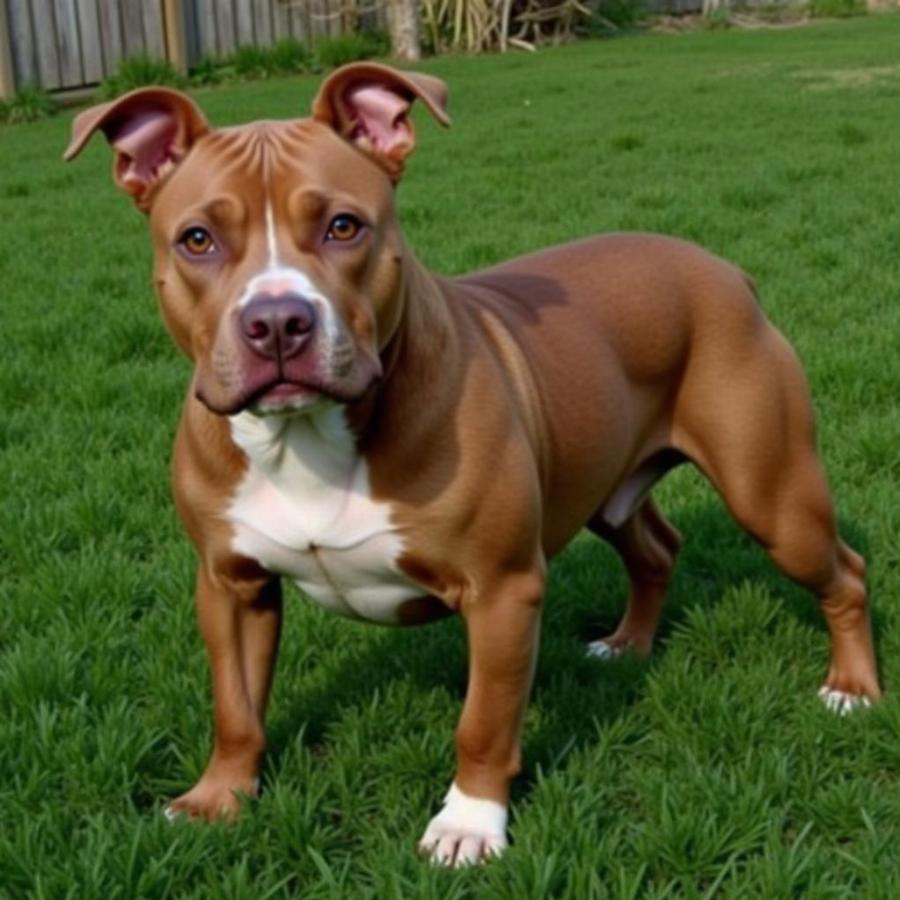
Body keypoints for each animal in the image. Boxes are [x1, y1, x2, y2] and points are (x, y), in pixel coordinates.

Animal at [67, 61, 884, 864]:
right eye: (197, 239)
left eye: (343, 227)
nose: (275, 321)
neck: (305, 438)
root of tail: (722, 270)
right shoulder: (230, 585)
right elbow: (235, 706)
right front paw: (218, 799)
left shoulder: (501, 590)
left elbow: (483, 722)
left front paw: (469, 824)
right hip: (607, 485)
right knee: (655, 548)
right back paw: (627, 644)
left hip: (773, 494)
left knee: (843, 572)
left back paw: (852, 688)